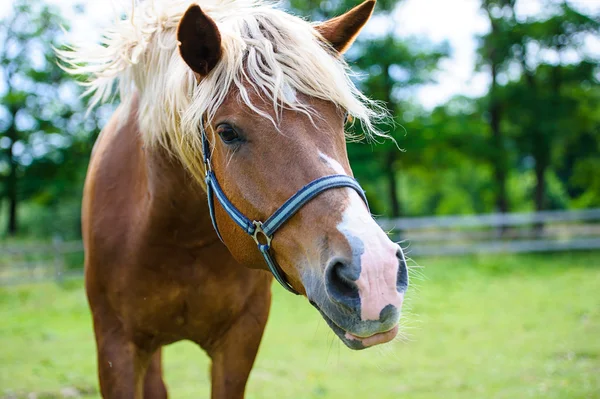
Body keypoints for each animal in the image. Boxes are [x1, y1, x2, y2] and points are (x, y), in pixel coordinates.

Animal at [59, 1, 408, 398]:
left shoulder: (241, 340)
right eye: (227, 132)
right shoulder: (116, 344)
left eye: (343, 118)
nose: (374, 273)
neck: (181, 239)